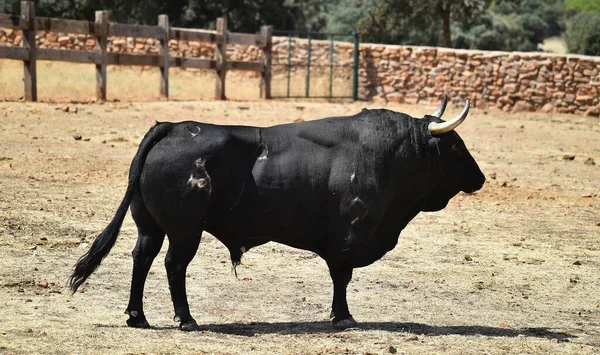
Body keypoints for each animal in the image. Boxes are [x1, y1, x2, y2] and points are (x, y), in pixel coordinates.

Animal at [70, 98, 486, 332]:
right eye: (455, 146)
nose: (480, 178)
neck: (392, 156)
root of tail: (172, 127)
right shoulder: (347, 237)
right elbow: (341, 278)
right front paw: (343, 316)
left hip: (150, 226)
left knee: (142, 257)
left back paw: (137, 316)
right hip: (186, 231)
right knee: (174, 265)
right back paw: (186, 319)